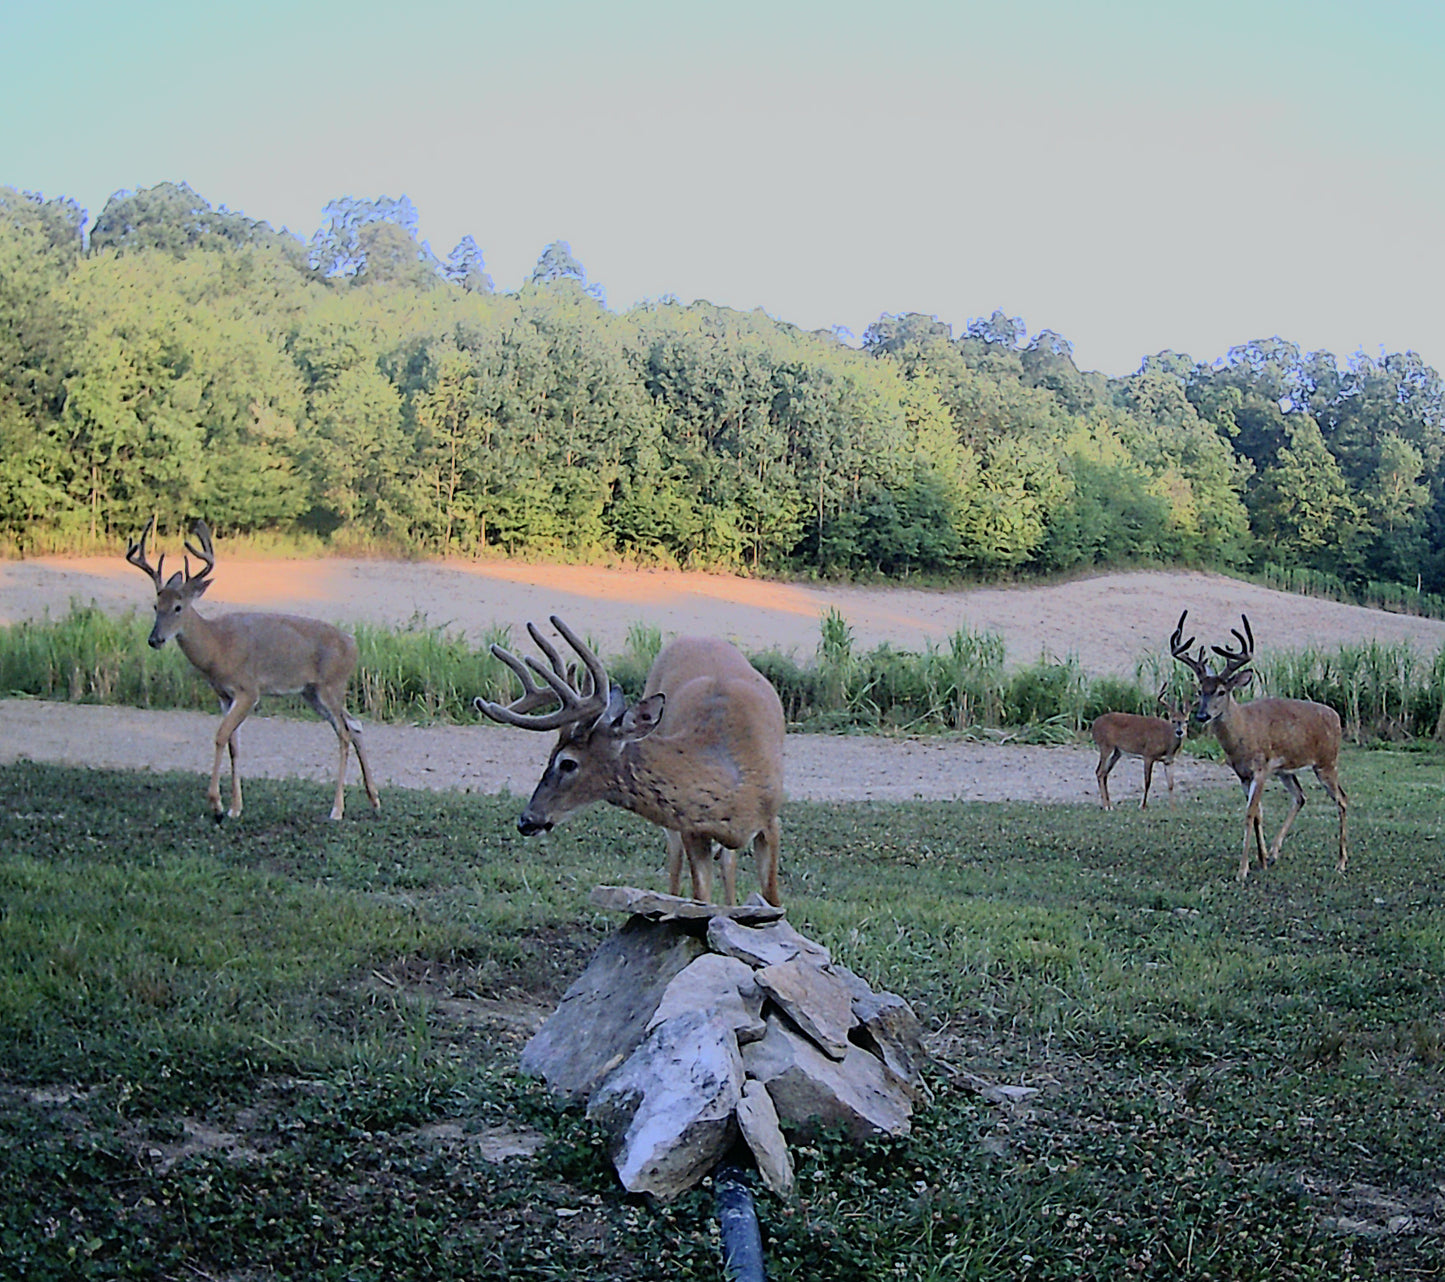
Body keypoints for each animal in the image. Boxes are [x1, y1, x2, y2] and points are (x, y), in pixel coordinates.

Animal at [124, 520, 381, 820]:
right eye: (156, 605)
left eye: (178, 607)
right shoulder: (224, 695)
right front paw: (235, 806)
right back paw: (374, 799)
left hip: (331, 685)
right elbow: (233, 745)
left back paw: (337, 809)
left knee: (343, 734)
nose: (154, 639)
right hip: (312, 692)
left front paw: (216, 802)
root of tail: (353, 644)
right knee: (355, 726)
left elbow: (220, 735)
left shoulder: (248, 689)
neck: (217, 647)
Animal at [473, 615, 791, 907]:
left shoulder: (771, 821)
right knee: (676, 856)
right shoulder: (692, 829)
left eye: (567, 763)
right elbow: (701, 898)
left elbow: (773, 899)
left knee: (728, 861)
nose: (526, 820)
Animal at [1167, 612, 1346, 884]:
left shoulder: (1260, 769)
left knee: (1342, 800)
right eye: (1200, 690)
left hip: (1327, 762)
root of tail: (1336, 717)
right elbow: (1258, 814)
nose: (1201, 715)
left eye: (1221, 691)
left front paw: (1242, 870)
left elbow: (1249, 814)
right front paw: (1260, 860)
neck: (1243, 732)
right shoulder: (1243, 774)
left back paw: (1341, 862)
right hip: (1286, 770)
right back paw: (1273, 853)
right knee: (1300, 797)